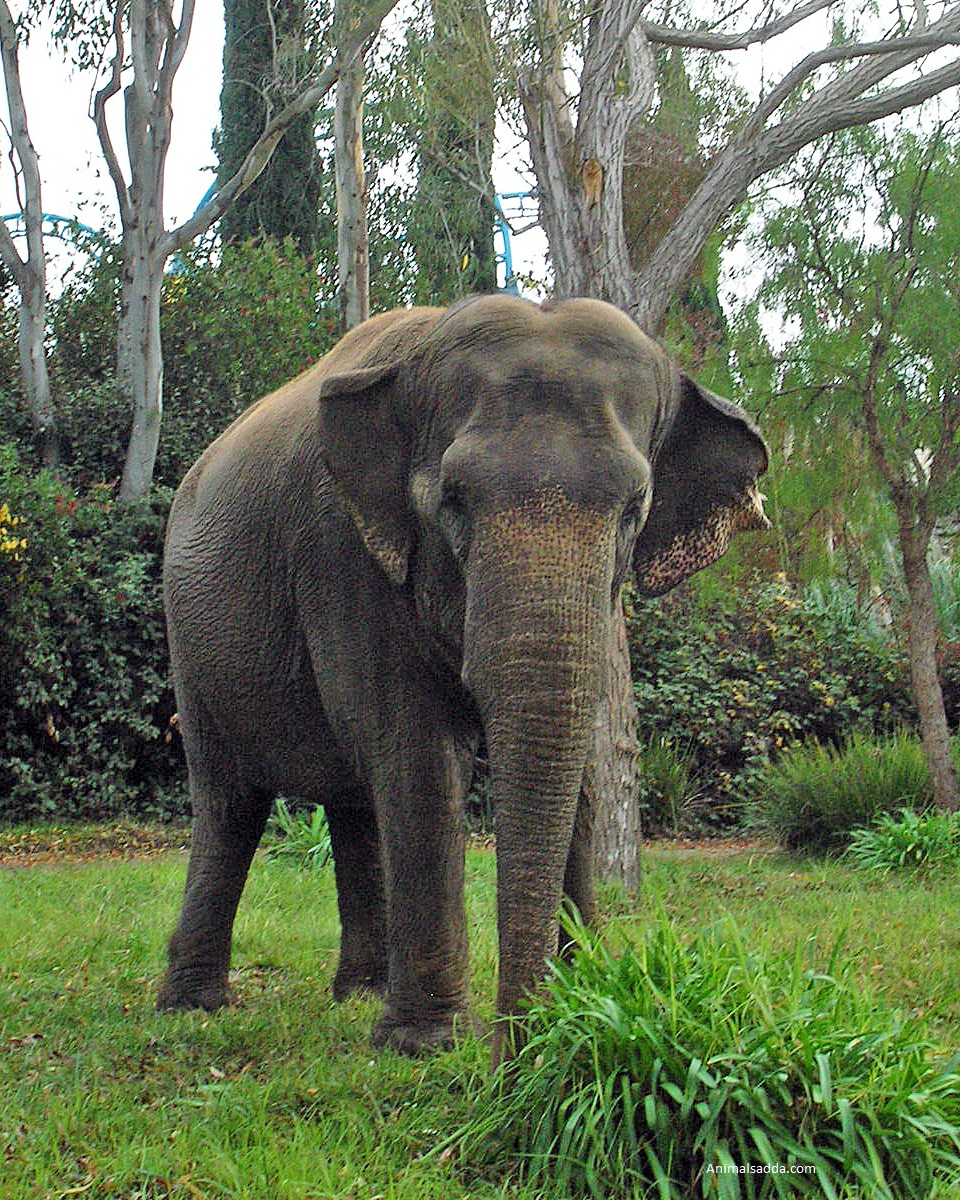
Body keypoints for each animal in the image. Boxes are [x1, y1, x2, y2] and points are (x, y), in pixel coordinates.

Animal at [159, 295, 772, 1065]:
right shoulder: (343, 558)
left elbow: (577, 765)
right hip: (192, 639)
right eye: (453, 501)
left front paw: (576, 1005)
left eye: (635, 509)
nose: (521, 1049)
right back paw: (193, 1008)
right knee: (230, 801)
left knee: (354, 802)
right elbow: (420, 758)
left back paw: (357, 995)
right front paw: (425, 1046)